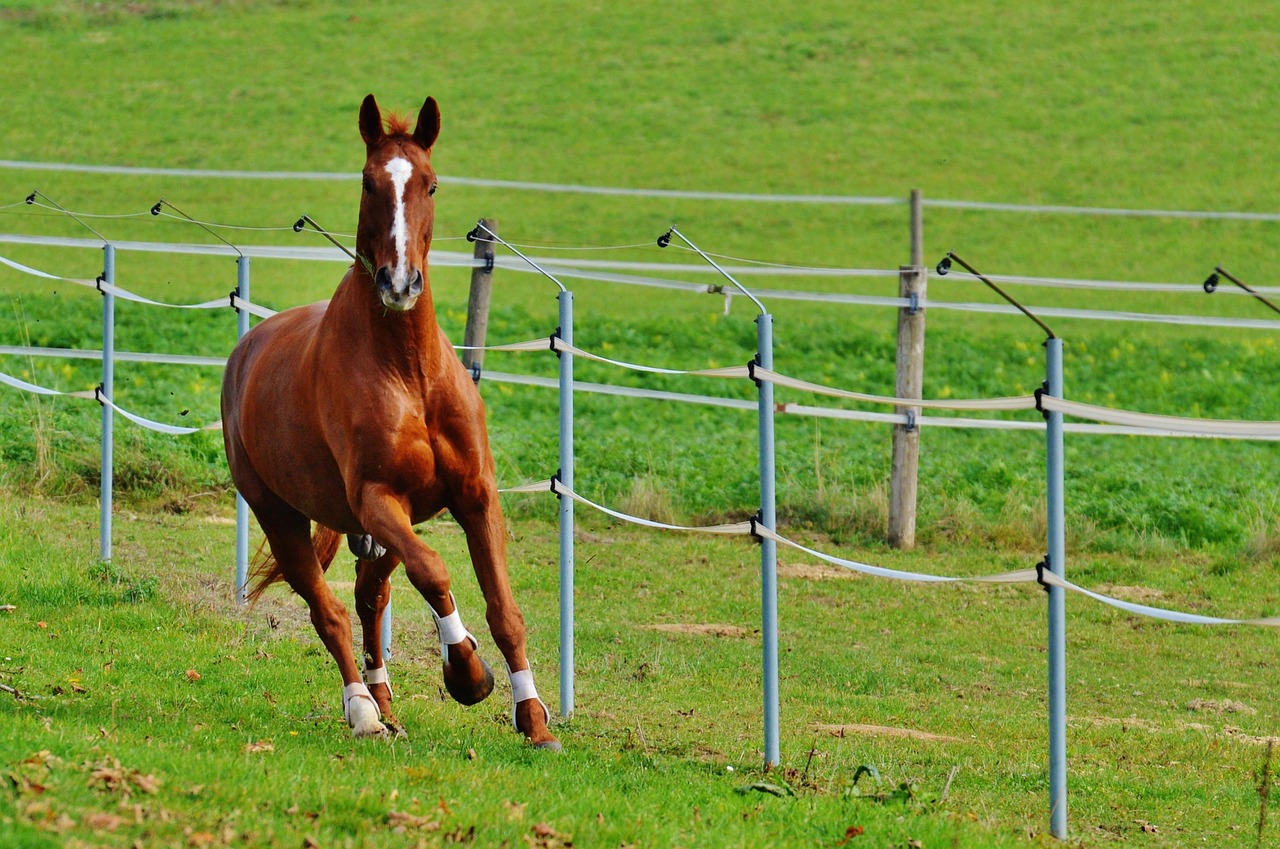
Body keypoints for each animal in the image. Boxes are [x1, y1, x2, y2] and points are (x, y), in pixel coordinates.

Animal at [220, 92, 560, 752]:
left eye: (430, 183)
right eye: (367, 181)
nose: (398, 282)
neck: (407, 372)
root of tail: (246, 352)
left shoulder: (475, 496)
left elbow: (504, 611)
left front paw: (533, 719)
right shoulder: (380, 500)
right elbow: (434, 572)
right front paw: (467, 675)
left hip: (374, 533)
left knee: (368, 595)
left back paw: (384, 701)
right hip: (281, 515)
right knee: (328, 611)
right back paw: (363, 711)